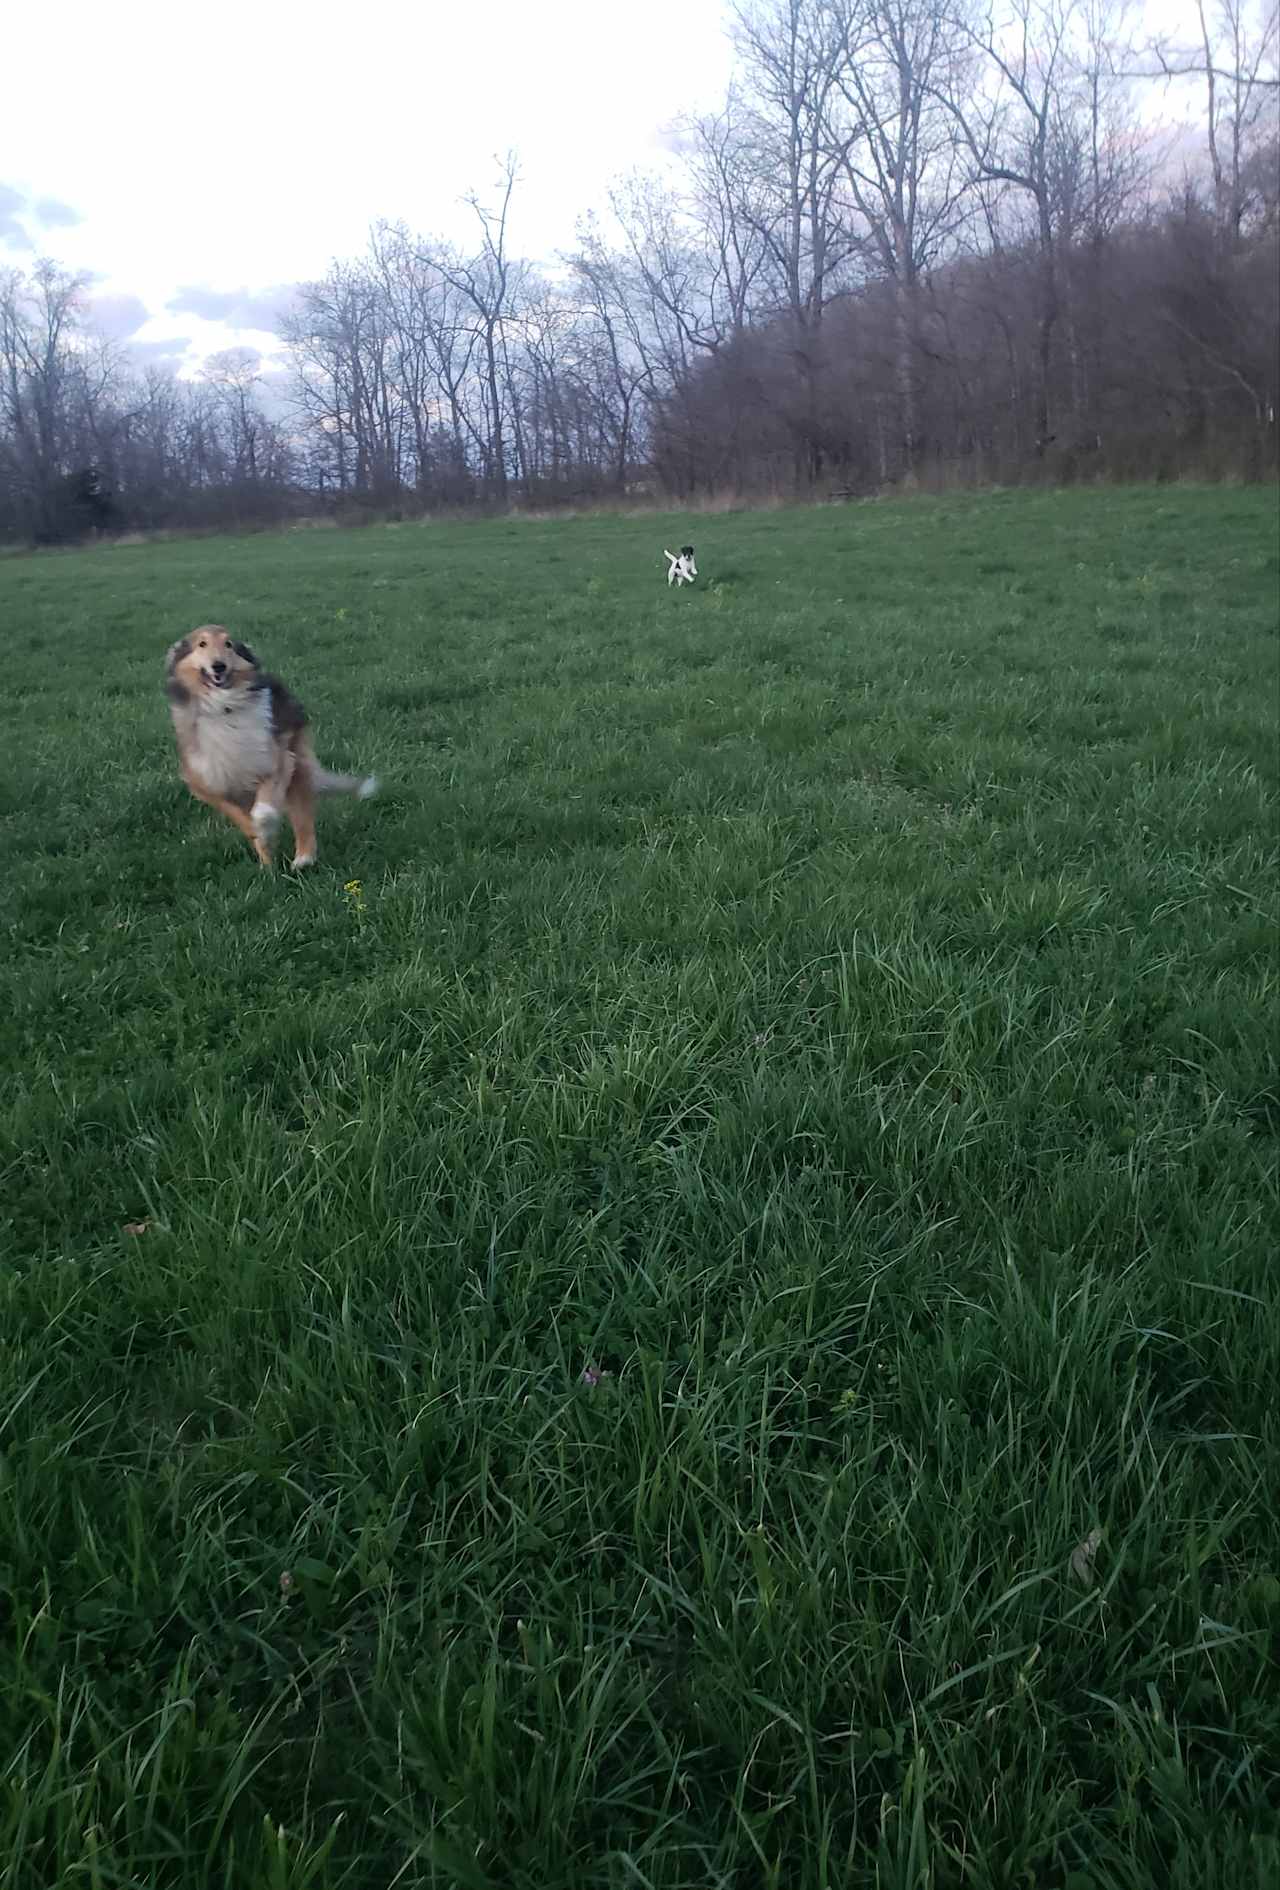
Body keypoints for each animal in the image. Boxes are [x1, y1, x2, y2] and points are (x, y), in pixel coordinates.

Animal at [164, 631, 376, 873]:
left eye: (228, 644)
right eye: (202, 643)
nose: (219, 666)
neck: (223, 705)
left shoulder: (275, 762)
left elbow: (264, 810)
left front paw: (265, 828)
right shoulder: (206, 783)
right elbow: (238, 816)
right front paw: (260, 841)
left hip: (297, 765)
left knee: (302, 818)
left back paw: (303, 858)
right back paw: (269, 869)